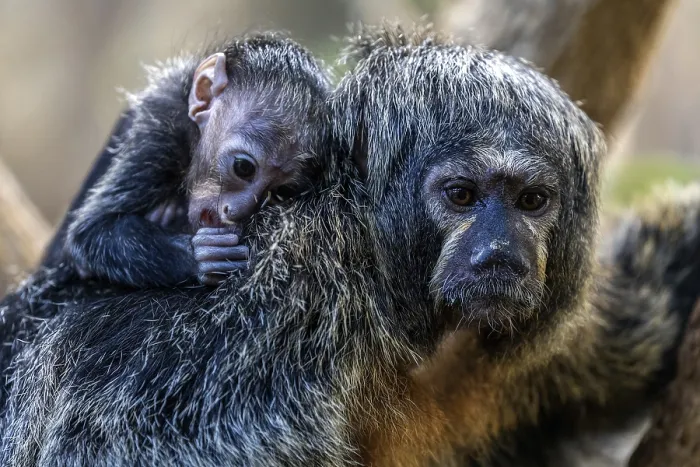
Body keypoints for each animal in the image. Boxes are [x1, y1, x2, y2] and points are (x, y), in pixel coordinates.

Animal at [64, 32, 331, 288]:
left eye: (279, 192)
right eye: (243, 168)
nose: (238, 211)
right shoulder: (161, 131)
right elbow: (89, 232)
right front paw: (199, 256)